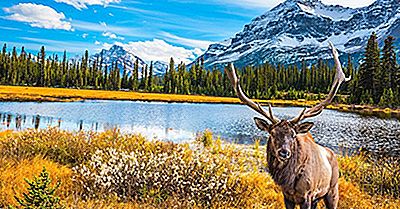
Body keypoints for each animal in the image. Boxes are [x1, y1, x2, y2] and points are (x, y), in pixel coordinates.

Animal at [227, 42, 352, 209]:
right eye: (272, 134)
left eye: (293, 135)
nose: (284, 152)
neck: (290, 180)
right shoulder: (287, 196)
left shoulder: (307, 195)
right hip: (318, 198)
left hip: (332, 191)